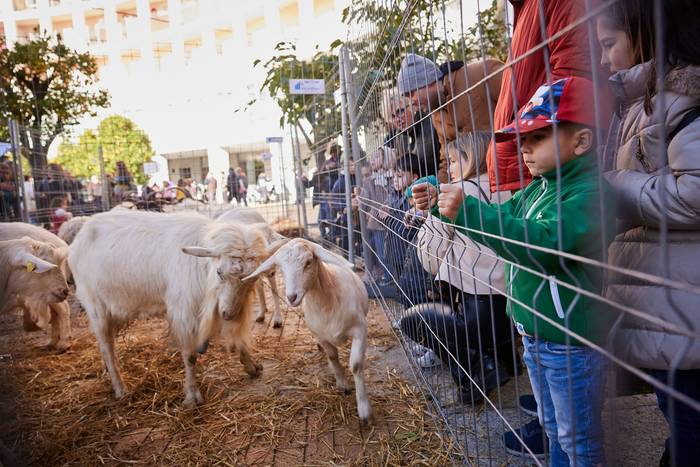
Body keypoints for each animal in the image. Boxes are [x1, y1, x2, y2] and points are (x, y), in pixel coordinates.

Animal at [69, 210, 270, 408]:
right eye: (220, 273)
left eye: (251, 279)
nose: (229, 314)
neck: (202, 267)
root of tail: (80, 235)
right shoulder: (185, 313)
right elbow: (190, 356)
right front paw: (192, 396)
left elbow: (235, 338)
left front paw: (252, 366)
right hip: (96, 307)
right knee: (106, 346)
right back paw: (120, 388)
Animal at [247, 239, 378, 426]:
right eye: (281, 267)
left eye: (308, 262)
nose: (291, 297)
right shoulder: (321, 335)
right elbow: (332, 357)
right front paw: (342, 385)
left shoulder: (360, 330)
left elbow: (356, 365)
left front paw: (364, 411)